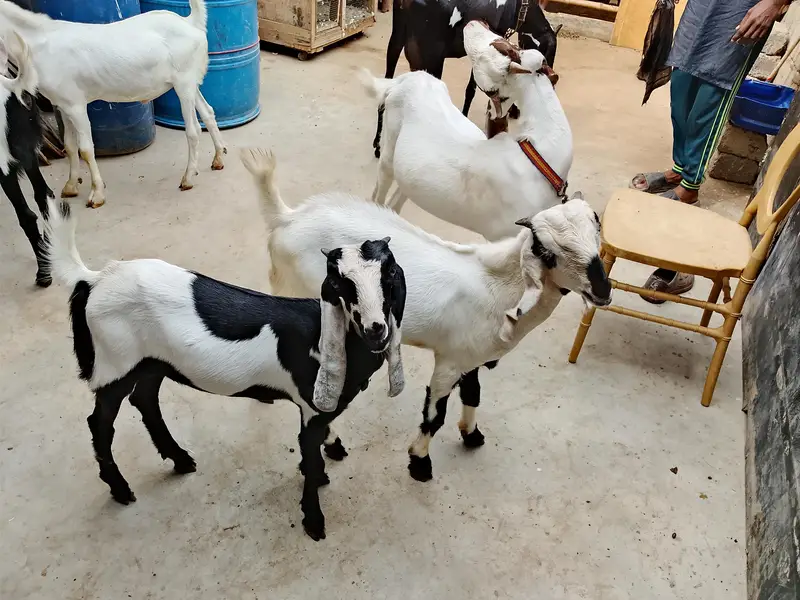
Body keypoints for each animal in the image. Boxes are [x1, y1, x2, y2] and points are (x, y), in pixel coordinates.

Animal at [0, 0, 226, 208]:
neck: (42, 44)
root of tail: (190, 22)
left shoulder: (76, 105)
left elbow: (86, 149)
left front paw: (97, 195)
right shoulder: (63, 105)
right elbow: (70, 146)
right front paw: (71, 187)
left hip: (183, 83)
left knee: (193, 130)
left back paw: (187, 178)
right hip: (190, 83)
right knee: (208, 112)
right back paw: (218, 159)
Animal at [44, 199, 406, 542]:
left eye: (390, 273)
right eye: (340, 283)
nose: (375, 330)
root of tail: (94, 280)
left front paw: (327, 458)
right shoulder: (310, 405)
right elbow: (310, 451)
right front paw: (314, 518)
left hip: (153, 362)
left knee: (145, 399)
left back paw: (179, 460)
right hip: (116, 364)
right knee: (101, 423)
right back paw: (121, 489)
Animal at [242, 147, 611, 484]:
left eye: (597, 225)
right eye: (547, 252)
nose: (603, 290)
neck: (494, 285)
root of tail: (286, 218)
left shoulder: (470, 357)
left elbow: (473, 393)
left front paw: (471, 435)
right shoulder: (448, 362)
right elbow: (434, 415)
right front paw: (419, 463)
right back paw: (332, 444)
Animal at [362, 23, 571, 243]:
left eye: (502, 47)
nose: (475, 23)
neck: (539, 156)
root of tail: (404, 79)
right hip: (388, 151)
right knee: (378, 194)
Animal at [372, 0, 559, 156]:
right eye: (547, 55)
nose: (552, 79)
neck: (520, 6)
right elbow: (472, 89)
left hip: (396, 41)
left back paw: (378, 144)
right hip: (432, 57)